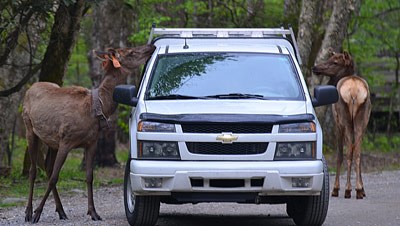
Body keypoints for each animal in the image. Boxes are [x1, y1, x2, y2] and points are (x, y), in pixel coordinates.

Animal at [21, 43, 156, 222]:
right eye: (131, 51)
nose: (151, 46)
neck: (97, 109)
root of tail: (30, 89)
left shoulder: (91, 143)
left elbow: (89, 176)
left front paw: (93, 212)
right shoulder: (66, 140)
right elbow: (54, 177)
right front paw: (37, 212)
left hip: (52, 141)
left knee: (48, 168)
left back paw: (61, 211)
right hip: (30, 128)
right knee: (34, 170)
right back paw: (29, 212)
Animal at [312, 51, 372, 200]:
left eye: (335, 62)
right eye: (329, 58)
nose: (315, 67)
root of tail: (354, 92)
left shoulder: (337, 123)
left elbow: (339, 154)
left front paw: (336, 188)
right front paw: (363, 189)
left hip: (345, 118)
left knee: (349, 149)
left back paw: (347, 189)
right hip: (361, 119)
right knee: (357, 151)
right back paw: (359, 189)